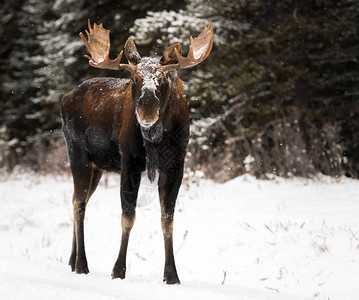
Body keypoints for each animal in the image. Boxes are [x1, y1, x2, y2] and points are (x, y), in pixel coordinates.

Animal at [60, 19, 215, 284]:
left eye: (162, 80)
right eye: (134, 79)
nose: (146, 114)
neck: (155, 140)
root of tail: (64, 99)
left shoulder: (176, 164)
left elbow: (167, 219)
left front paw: (171, 275)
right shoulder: (129, 161)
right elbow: (128, 215)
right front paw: (118, 270)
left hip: (97, 167)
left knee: (76, 199)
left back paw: (71, 260)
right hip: (77, 153)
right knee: (79, 202)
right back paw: (81, 264)